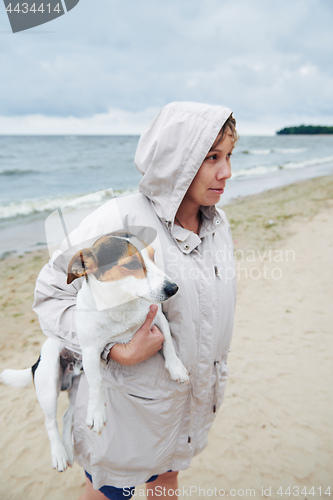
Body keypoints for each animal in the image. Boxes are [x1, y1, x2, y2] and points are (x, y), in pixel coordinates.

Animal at [0, 230, 189, 472]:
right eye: (132, 264)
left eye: (153, 256)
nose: (173, 288)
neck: (120, 306)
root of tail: (38, 359)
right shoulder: (91, 351)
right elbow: (98, 384)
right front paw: (97, 414)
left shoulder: (157, 317)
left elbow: (168, 342)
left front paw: (176, 368)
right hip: (49, 383)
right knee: (50, 421)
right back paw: (59, 453)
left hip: (75, 386)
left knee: (67, 416)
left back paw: (69, 449)